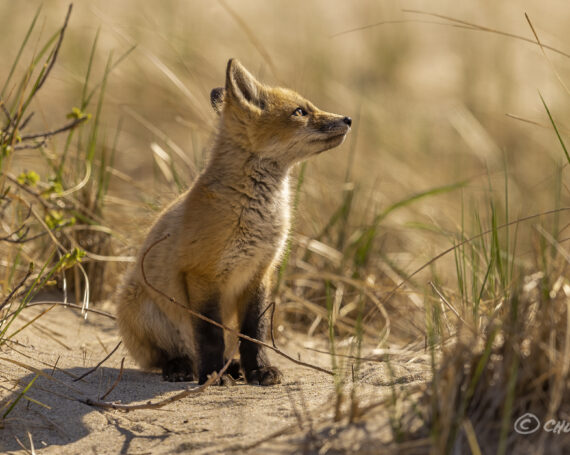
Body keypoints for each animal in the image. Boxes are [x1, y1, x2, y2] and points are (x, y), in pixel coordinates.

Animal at [115, 57, 350, 384]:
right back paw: (183, 367)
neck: (255, 215)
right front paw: (213, 375)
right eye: (300, 112)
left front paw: (259, 370)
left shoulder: (260, 272)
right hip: (136, 305)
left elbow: (255, 333)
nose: (348, 119)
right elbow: (209, 334)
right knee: (166, 356)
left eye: (309, 107)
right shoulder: (202, 274)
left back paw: (233, 367)